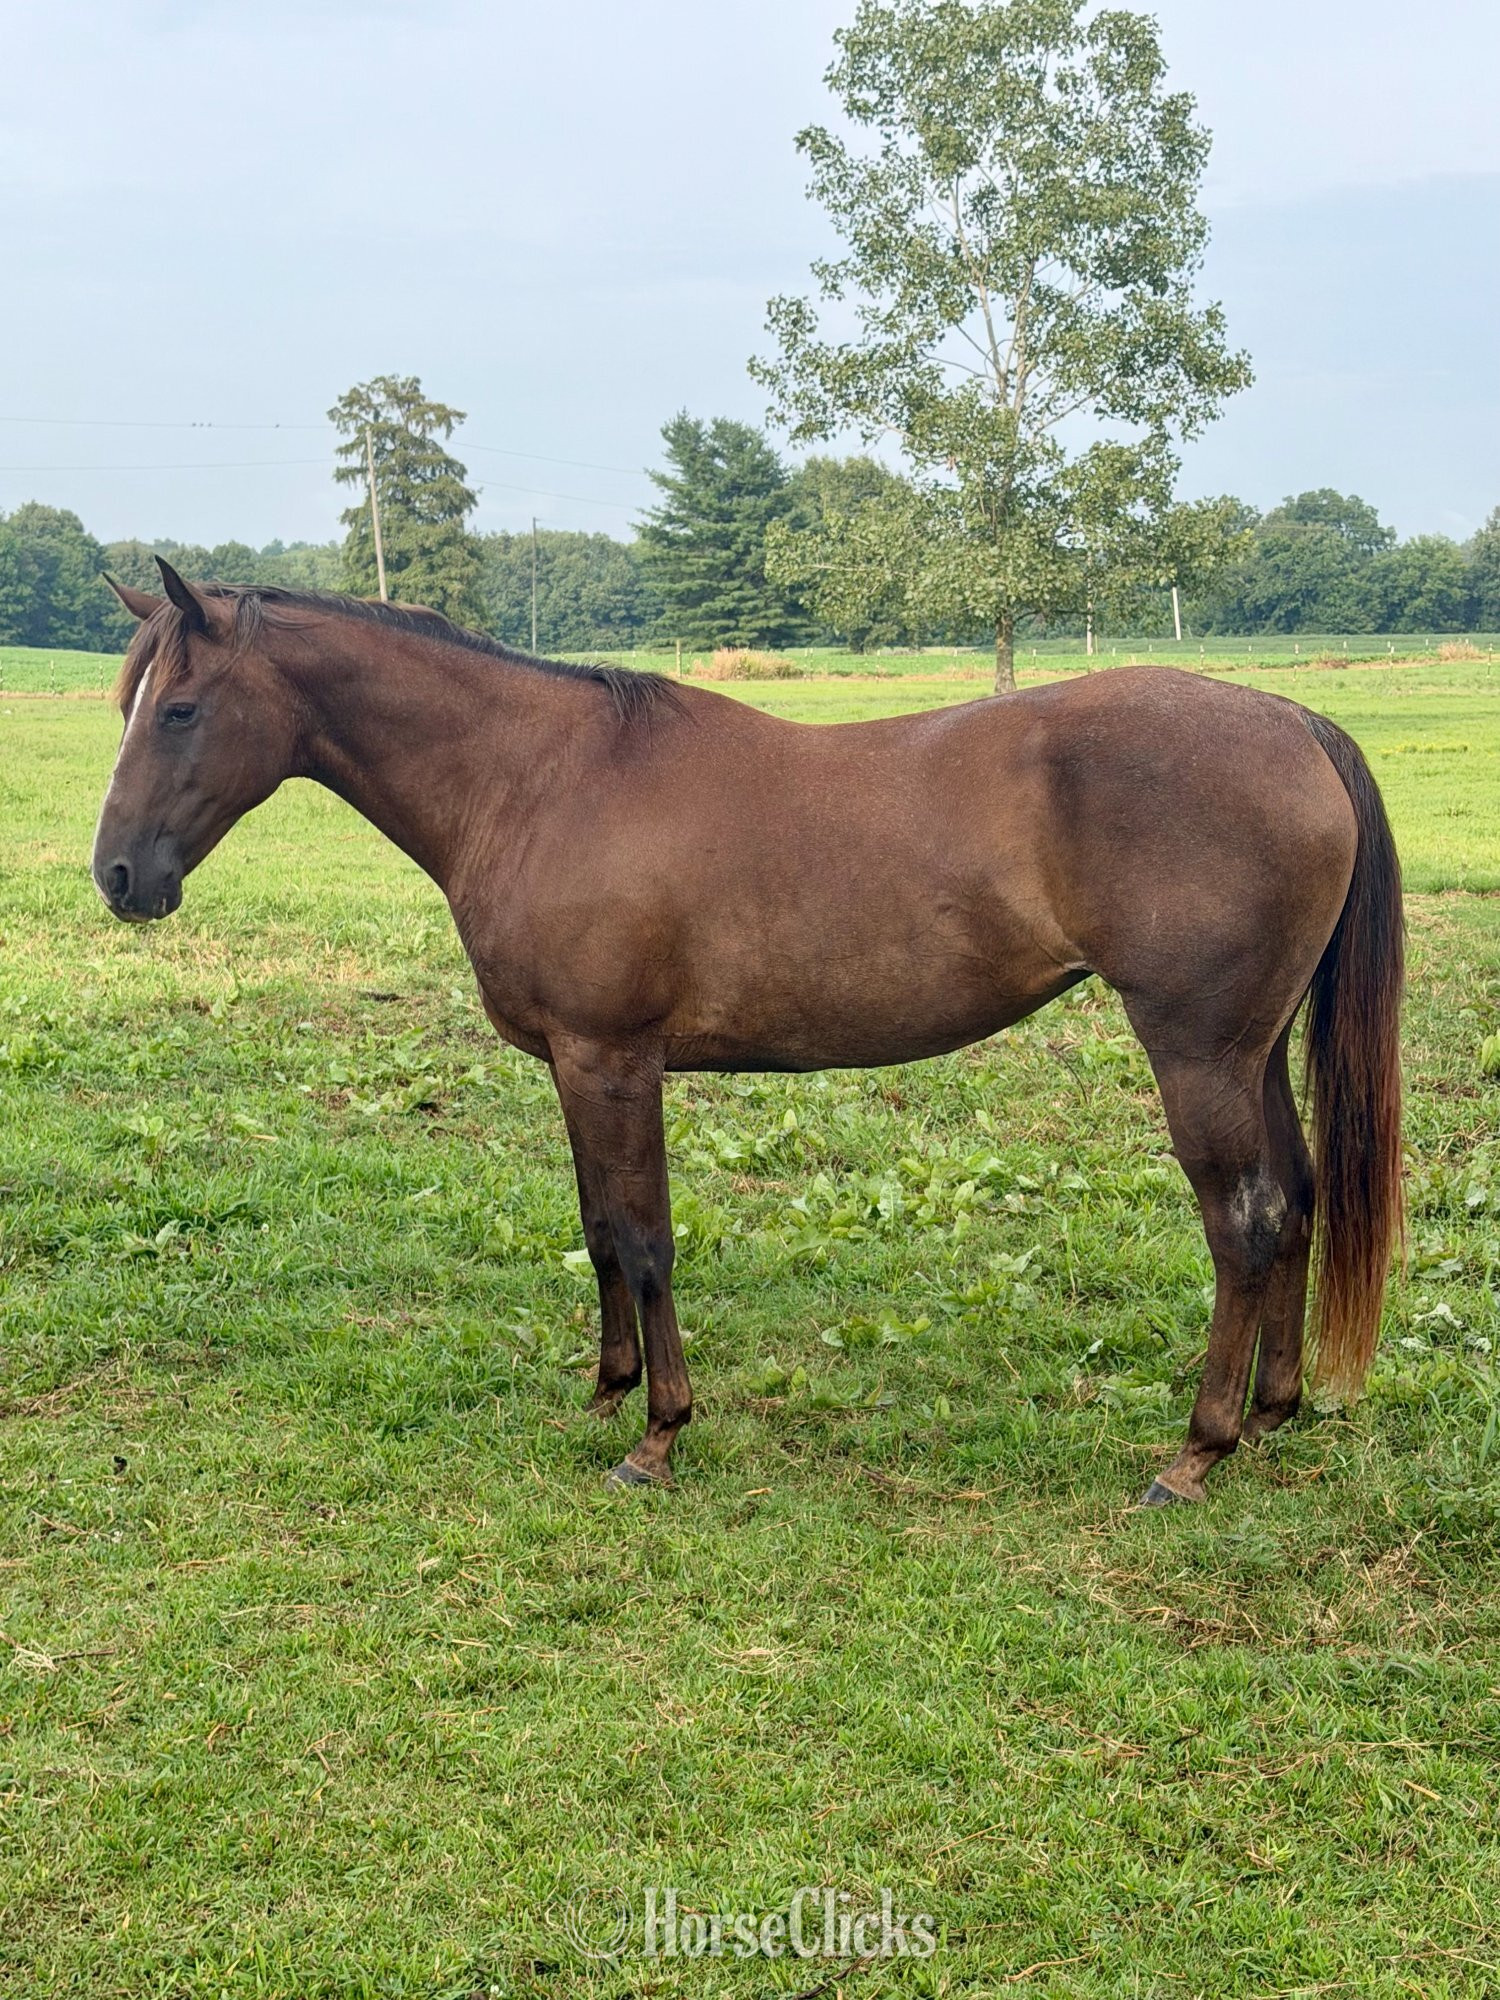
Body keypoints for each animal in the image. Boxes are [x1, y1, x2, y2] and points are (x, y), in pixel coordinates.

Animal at [93, 561, 1403, 1505]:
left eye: (184, 709)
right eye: (128, 705)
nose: (118, 876)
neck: (538, 778)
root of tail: (1295, 722)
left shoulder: (615, 1059)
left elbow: (645, 1238)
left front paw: (659, 1436)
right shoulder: (576, 1064)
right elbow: (600, 1230)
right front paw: (607, 1392)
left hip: (1196, 1053)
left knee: (1245, 1222)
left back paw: (1196, 1450)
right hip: (1253, 1052)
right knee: (1295, 1197)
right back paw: (1272, 1414)